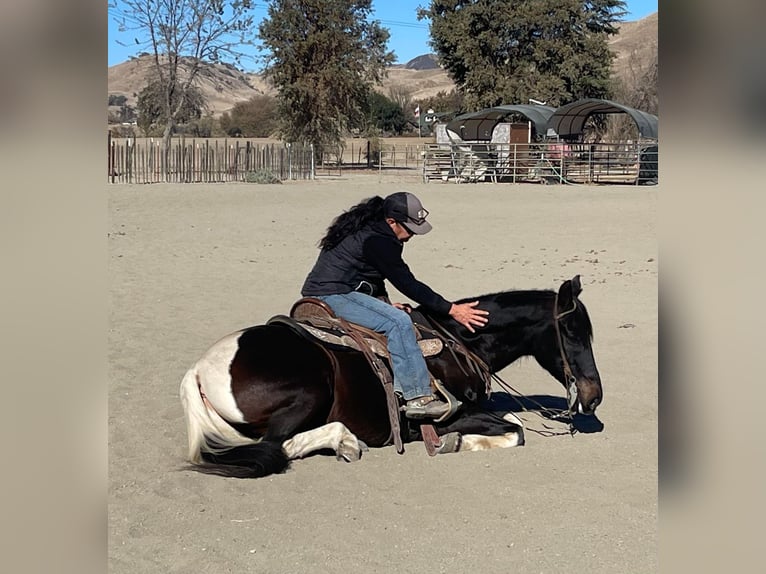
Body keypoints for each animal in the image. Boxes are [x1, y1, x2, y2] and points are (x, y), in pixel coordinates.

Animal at [182, 276, 608, 480]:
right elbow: (515, 429)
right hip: (307, 393)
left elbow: (513, 422)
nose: (594, 396)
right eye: (572, 332)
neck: (457, 342)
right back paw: (346, 441)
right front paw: (457, 442)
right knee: (278, 445)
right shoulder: (450, 415)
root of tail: (199, 370)